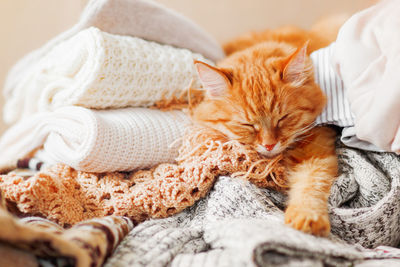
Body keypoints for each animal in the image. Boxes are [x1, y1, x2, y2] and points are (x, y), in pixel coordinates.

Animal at [192, 21, 342, 239]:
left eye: (282, 119)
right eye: (247, 125)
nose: (269, 145)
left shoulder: (316, 153)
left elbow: (311, 185)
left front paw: (307, 218)